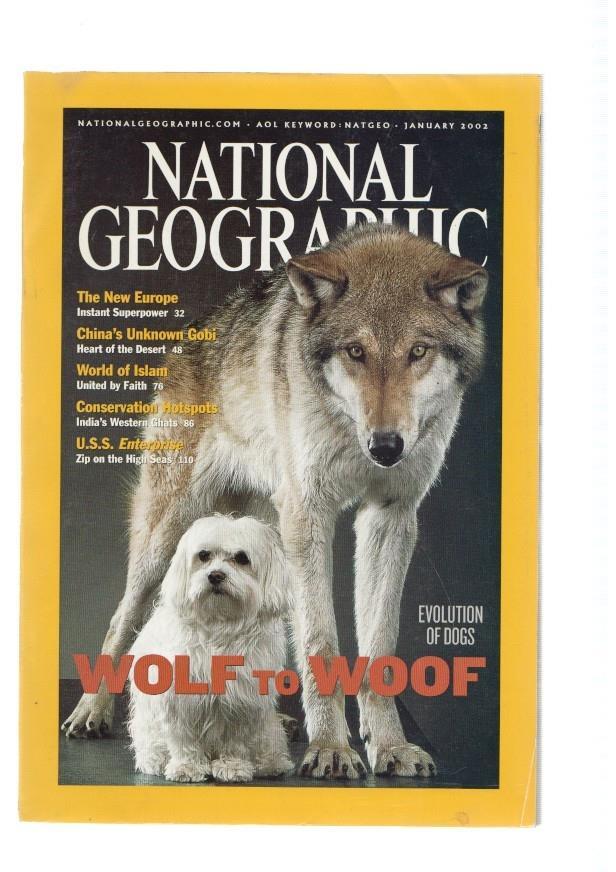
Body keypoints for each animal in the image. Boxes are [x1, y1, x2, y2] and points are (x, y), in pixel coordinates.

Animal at [62, 222, 488, 779]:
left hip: (267, 532)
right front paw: (330, 748)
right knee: (123, 620)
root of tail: (192, 334)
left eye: (419, 352)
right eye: (355, 352)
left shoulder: (391, 516)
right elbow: (320, 643)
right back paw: (91, 712)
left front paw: (390, 747)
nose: (386, 447)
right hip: (168, 533)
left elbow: (378, 647)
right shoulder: (311, 514)